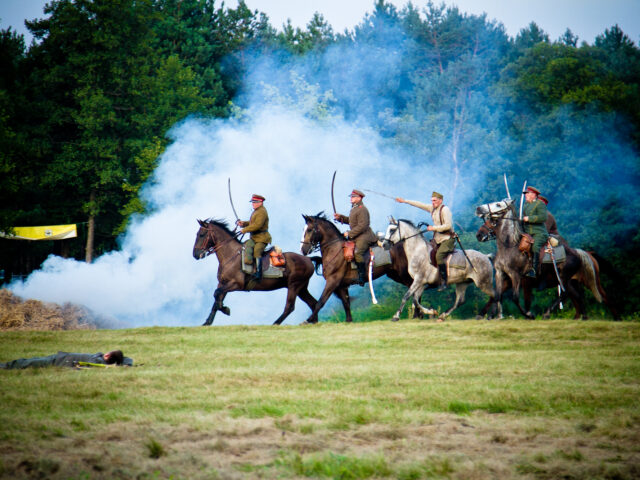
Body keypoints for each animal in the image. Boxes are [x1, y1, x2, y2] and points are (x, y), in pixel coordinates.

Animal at [472, 199, 616, 318]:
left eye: (498, 205)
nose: (478, 209)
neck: (509, 246)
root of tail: (577, 252)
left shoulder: (517, 277)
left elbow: (516, 298)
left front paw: (529, 314)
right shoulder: (501, 274)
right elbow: (497, 295)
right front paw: (489, 315)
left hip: (566, 277)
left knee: (571, 295)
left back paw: (547, 313)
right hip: (569, 281)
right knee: (576, 297)